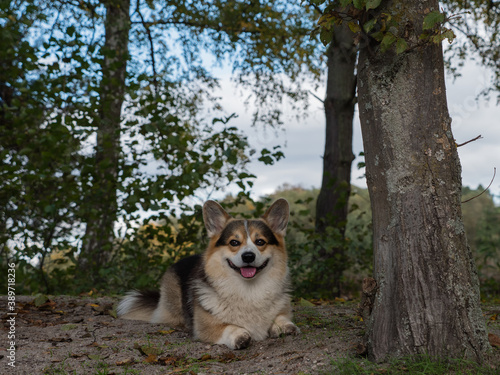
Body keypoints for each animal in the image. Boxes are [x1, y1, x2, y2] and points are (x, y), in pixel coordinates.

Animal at [116, 200, 296, 350]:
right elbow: (227, 327)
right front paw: (239, 335)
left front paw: (284, 326)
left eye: (260, 242)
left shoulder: (281, 310)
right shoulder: (204, 327)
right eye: (234, 242)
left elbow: (280, 317)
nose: (248, 256)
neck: (249, 289)